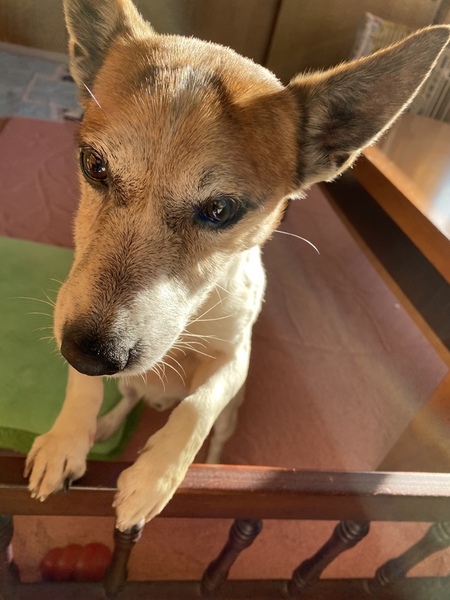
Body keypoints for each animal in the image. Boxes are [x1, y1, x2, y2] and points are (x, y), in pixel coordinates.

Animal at [24, 0, 450, 531]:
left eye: (221, 209)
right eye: (93, 165)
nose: (89, 353)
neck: (192, 318)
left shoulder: (235, 357)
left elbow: (198, 407)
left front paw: (155, 479)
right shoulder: (76, 309)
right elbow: (82, 389)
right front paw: (65, 441)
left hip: (232, 409)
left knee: (213, 428)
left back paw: (213, 464)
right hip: (125, 378)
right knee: (128, 399)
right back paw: (107, 425)